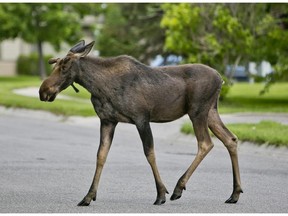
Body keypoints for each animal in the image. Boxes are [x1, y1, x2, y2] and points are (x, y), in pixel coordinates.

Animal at [38, 40, 243, 206]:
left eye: (65, 66)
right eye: (55, 64)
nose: (43, 91)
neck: (98, 87)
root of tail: (221, 79)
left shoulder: (142, 118)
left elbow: (149, 153)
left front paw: (161, 194)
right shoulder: (107, 121)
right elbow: (101, 156)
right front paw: (88, 196)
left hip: (197, 111)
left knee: (205, 143)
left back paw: (178, 188)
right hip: (211, 112)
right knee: (230, 139)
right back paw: (234, 194)